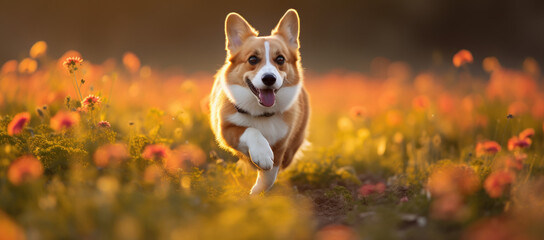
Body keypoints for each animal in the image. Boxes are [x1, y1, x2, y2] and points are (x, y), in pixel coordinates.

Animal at [209, 8, 308, 195]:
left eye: (280, 59)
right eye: (252, 59)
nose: (269, 78)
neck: (262, 113)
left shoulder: (281, 145)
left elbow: (269, 175)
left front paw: (256, 193)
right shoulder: (226, 130)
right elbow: (251, 130)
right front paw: (261, 154)